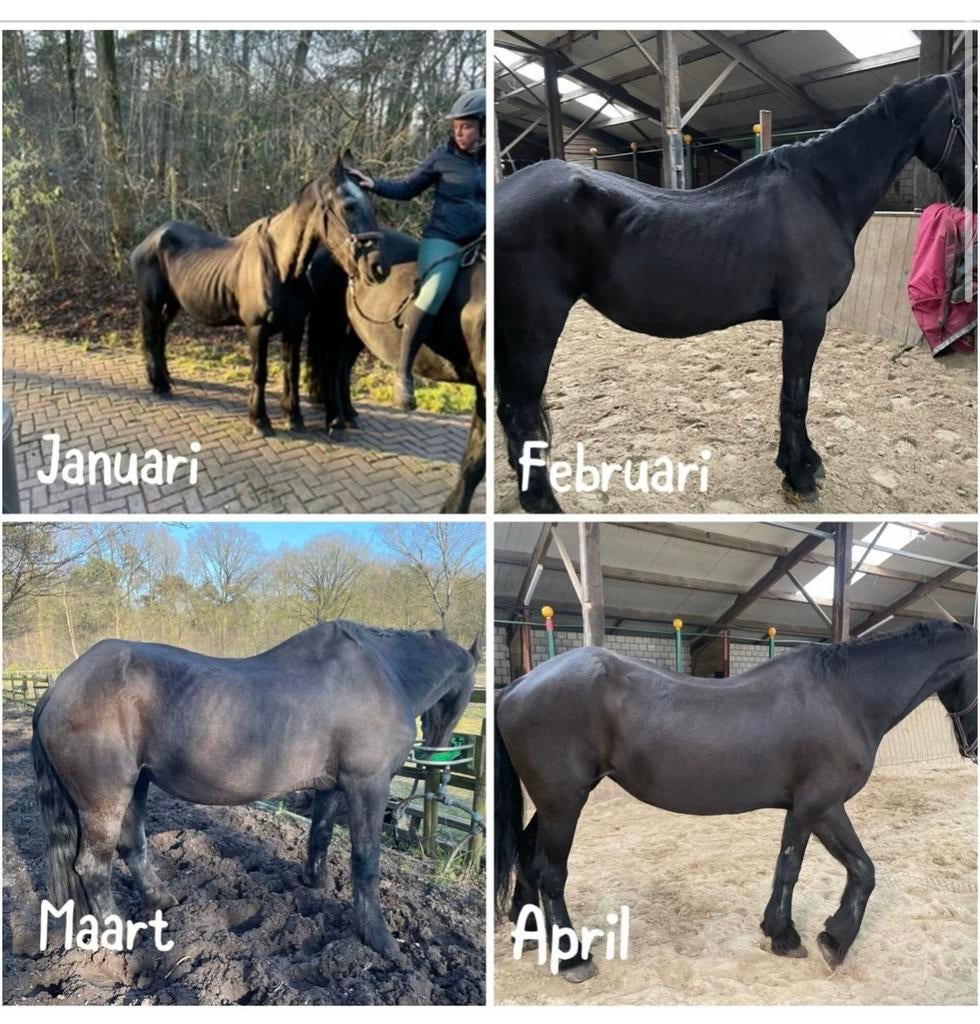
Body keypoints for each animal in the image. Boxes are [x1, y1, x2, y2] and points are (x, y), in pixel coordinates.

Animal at [31, 620, 479, 956]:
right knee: (93, 865)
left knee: (132, 845)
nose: (437, 753)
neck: (383, 673)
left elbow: (320, 836)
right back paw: (119, 933)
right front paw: (380, 939)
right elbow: (366, 862)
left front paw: (315, 884)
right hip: (105, 799)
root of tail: (60, 686)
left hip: (136, 786)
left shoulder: (332, 787)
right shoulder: (367, 786)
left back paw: (160, 900)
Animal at [131, 155, 389, 436]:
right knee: (151, 337)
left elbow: (291, 370)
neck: (282, 266)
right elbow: (260, 372)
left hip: (173, 304)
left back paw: (166, 378)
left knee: (160, 334)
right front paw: (259, 420)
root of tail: (150, 239)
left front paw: (293, 418)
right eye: (349, 206)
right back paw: (159, 385)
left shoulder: (294, 329)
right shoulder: (257, 329)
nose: (378, 267)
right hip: (152, 303)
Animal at [306, 228, 486, 513]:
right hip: (331, 323)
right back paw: (336, 421)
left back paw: (349, 414)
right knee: (332, 366)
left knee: (343, 364)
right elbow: (476, 462)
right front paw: (453, 510)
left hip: (357, 331)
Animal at [495, 619, 977, 982]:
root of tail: (518, 684)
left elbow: (805, 868)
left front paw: (789, 934)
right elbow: (848, 870)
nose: (973, 750)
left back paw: (530, 932)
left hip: (556, 803)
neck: (846, 698)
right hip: (564, 803)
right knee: (551, 874)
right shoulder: (821, 805)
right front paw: (825, 940)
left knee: (527, 855)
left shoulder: (807, 809)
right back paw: (571, 959)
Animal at [496, 61, 976, 513]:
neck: (822, 191)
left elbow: (794, 394)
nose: (968, 195)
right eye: (969, 116)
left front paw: (803, 462)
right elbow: (795, 396)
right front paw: (799, 476)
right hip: (534, 329)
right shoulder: (805, 319)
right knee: (519, 415)